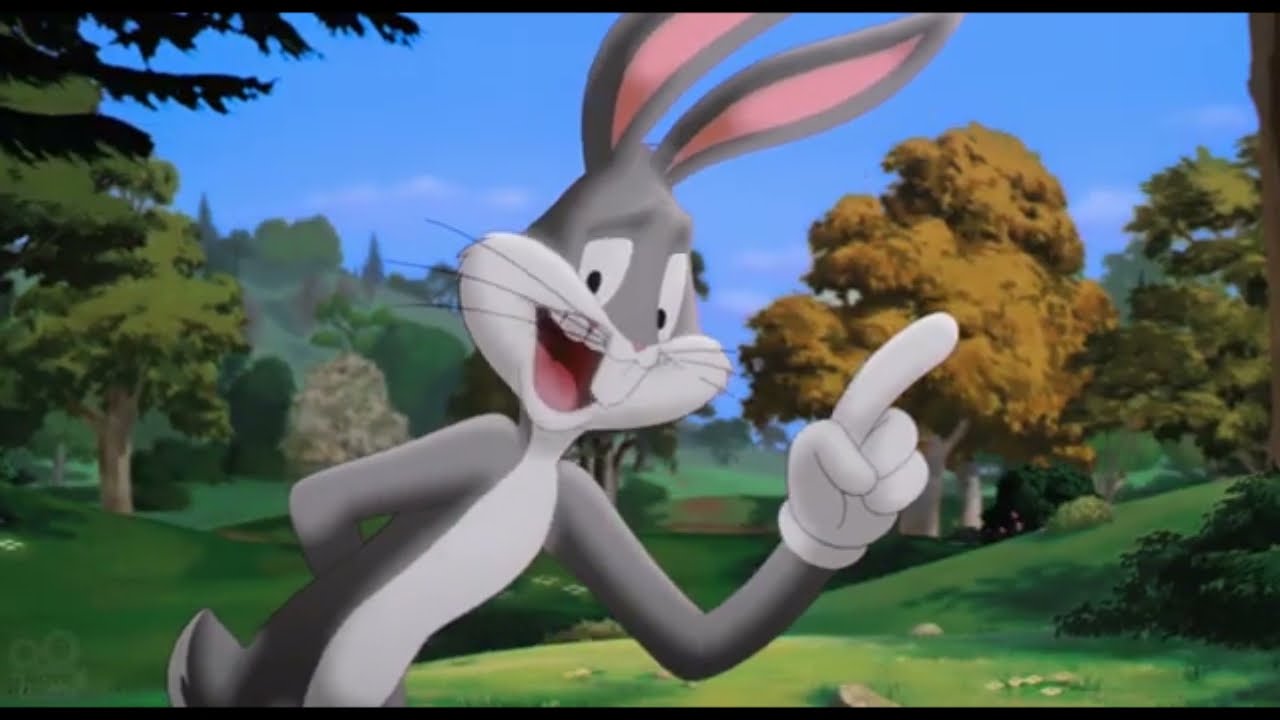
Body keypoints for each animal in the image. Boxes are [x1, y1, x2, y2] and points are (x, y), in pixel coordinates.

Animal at [166, 12, 963, 707]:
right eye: (597, 274)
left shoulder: (575, 500)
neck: (538, 456)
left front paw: (846, 501)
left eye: (666, 313)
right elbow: (317, 500)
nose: (635, 342)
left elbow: (692, 645)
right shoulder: (481, 444)